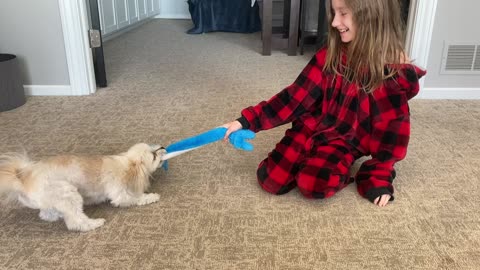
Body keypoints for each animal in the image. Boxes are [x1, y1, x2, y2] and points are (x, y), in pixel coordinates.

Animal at [0, 143, 167, 232]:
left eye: (153, 147)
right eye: (153, 156)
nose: (162, 147)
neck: (126, 165)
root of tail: (23, 178)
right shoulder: (120, 194)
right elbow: (136, 198)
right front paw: (152, 196)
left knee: (46, 214)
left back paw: (57, 215)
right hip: (67, 192)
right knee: (76, 221)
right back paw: (94, 223)